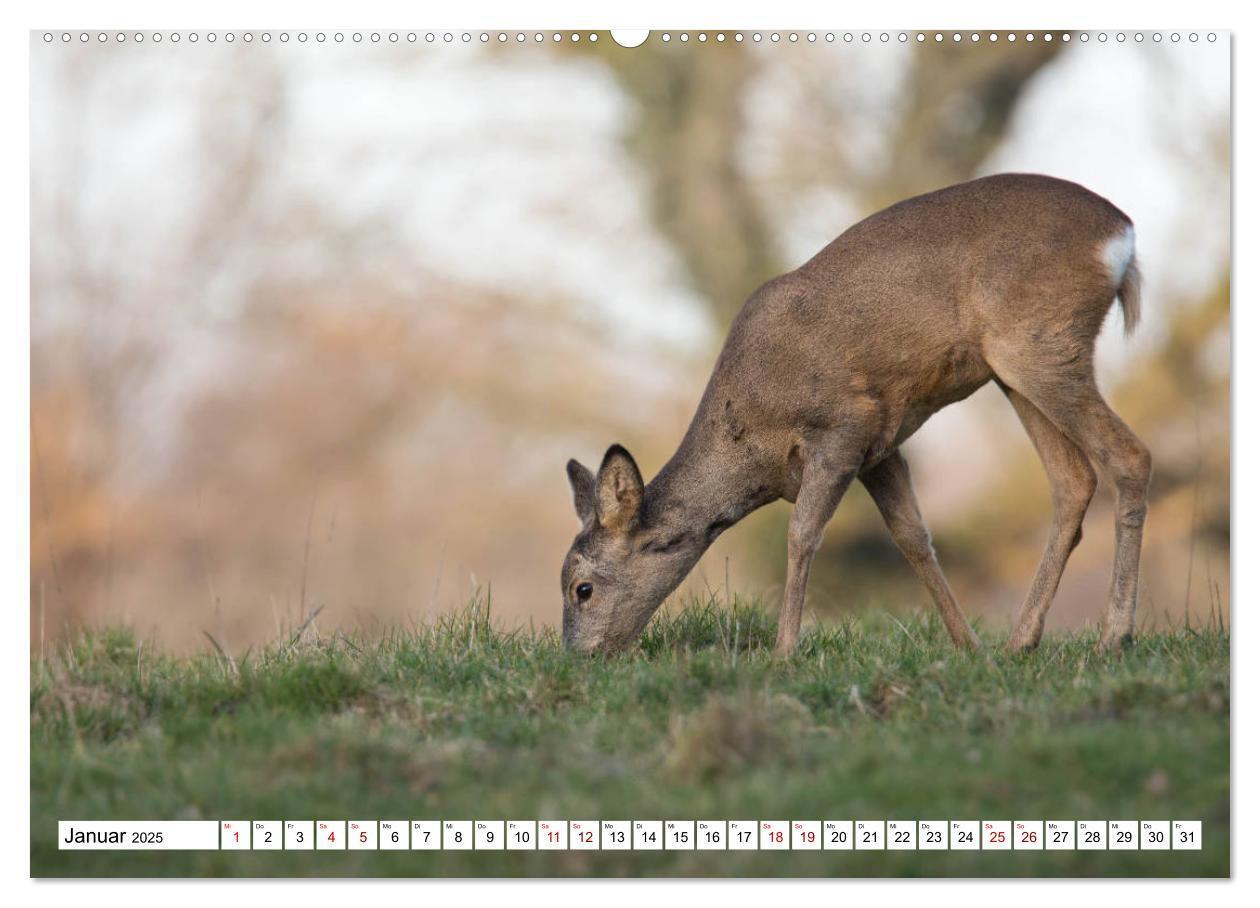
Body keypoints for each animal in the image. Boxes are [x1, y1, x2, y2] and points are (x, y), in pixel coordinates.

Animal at [561, 175, 1154, 659]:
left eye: (581, 588)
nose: (579, 657)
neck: (750, 438)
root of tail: (1122, 235)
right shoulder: (881, 446)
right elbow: (912, 536)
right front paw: (967, 646)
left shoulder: (844, 425)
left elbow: (802, 532)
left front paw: (783, 654)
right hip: (1014, 368)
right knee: (1073, 482)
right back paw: (1020, 641)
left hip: (1040, 345)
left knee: (1130, 456)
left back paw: (1113, 637)